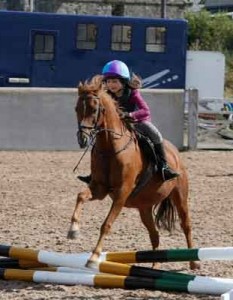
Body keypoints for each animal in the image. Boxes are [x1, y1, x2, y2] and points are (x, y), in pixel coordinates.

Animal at [67, 75, 198, 270]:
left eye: (94, 109)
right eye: (76, 109)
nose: (82, 139)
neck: (110, 148)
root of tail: (175, 152)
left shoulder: (122, 192)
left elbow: (106, 224)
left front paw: (93, 257)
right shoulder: (100, 189)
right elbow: (80, 196)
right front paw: (73, 230)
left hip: (180, 195)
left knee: (186, 225)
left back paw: (194, 262)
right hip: (144, 208)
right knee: (154, 235)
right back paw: (155, 266)